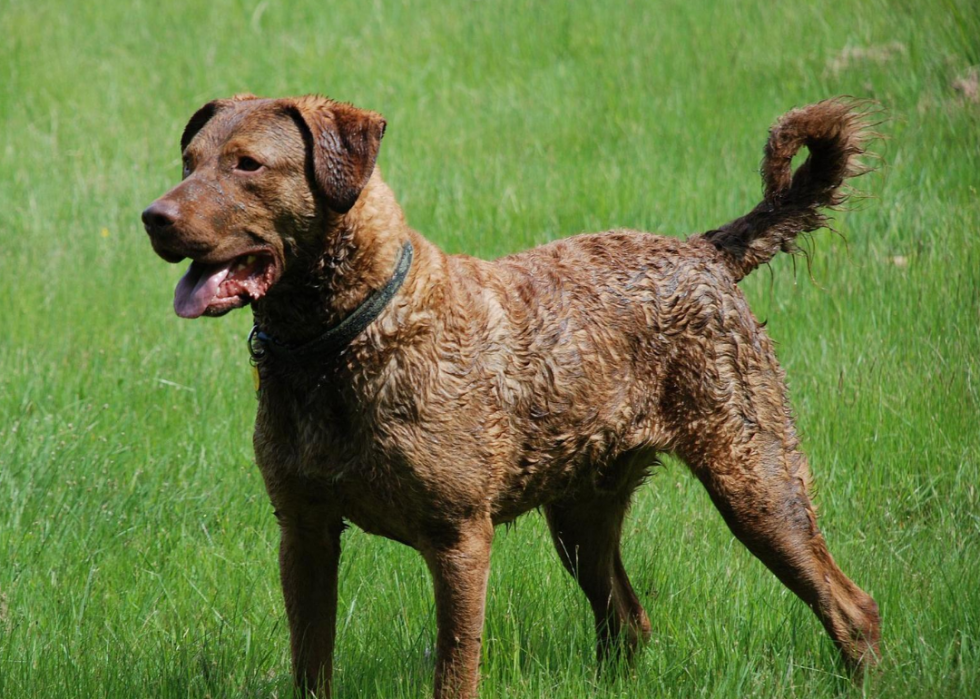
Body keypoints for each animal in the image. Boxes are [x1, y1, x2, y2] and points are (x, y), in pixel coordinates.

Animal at [144, 97, 880, 699]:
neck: (341, 342)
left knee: (853, 608)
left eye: (247, 164)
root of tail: (706, 252)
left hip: (756, 479)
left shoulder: (460, 538)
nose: (153, 217)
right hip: (582, 512)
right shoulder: (303, 531)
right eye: (188, 160)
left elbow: (454, 670)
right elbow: (310, 663)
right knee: (628, 620)